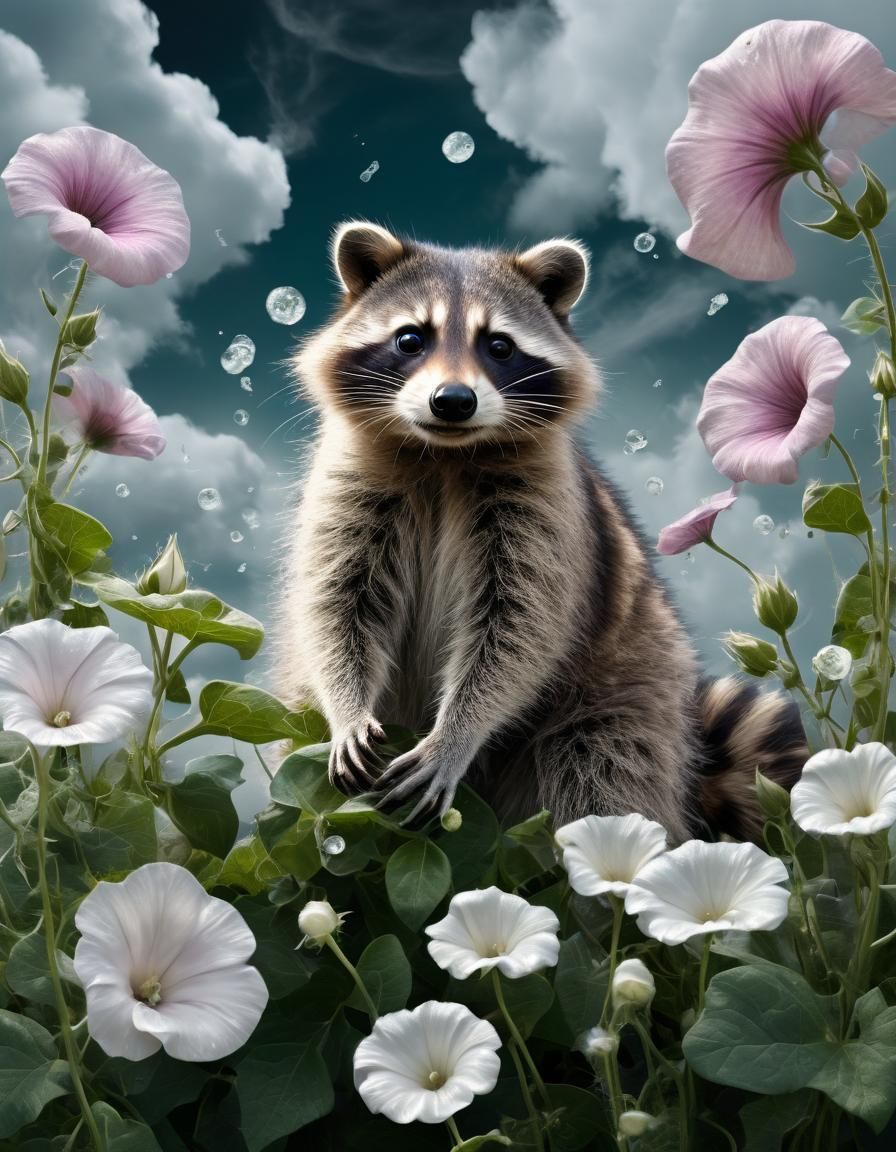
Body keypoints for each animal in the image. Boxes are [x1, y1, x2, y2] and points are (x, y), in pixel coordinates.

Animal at [273, 221, 807, 842]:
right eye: (410, 339)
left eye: (499, 346)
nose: (452, 401)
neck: (445, 455)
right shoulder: (349, 488)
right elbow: (336, 604)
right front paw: (347, 707)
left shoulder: (549, 509)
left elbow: (519, 629)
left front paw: (457, 731)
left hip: (626, 695)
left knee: (600, 781)